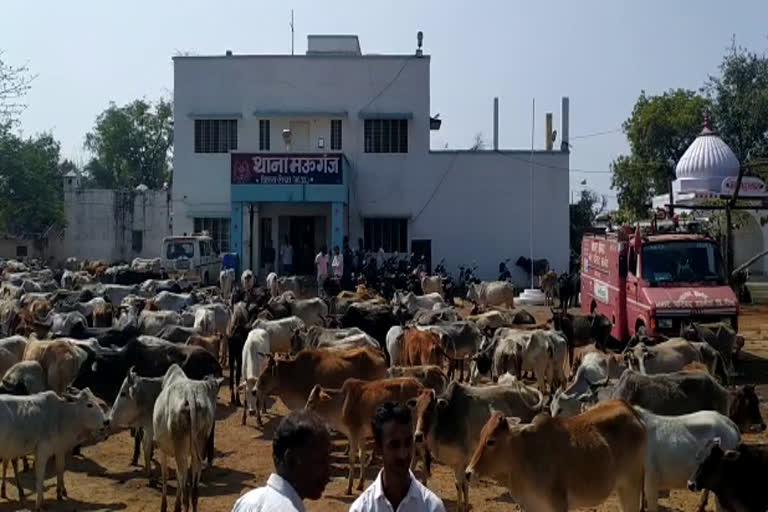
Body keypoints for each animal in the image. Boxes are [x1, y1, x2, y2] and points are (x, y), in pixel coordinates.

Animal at [152, 364, 219, 512]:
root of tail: (190, 395)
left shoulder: (162, 449)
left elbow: (165, 475)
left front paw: (164, 506)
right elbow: (178, 477)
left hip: (180, 448)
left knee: (185, 493)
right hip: (198, 447)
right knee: (194, 491)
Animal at [462, 400, 648, 512]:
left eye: (491, 441)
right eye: (481, 436)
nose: (468, 473)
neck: (524, 455)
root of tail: (628, 408)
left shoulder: (558, 506)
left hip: (631, 487)